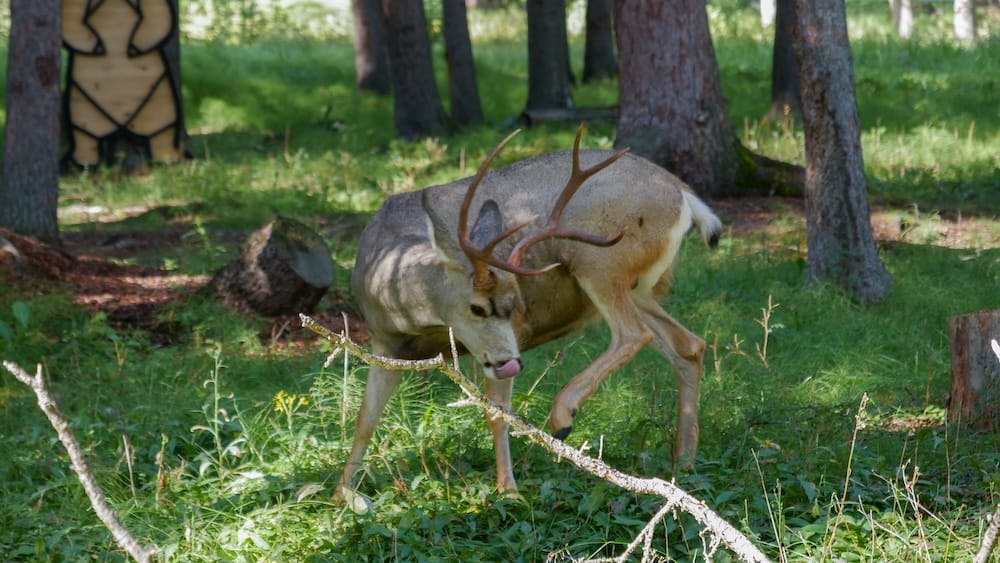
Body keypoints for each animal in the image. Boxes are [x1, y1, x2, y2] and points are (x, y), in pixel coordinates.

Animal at [340, 126, 722, 504]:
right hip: (638, 287)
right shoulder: (385, 343)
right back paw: (684, 463)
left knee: (633, 332)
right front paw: (343, 494)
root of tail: (683, 194)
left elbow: (497, 414)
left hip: (599, 261)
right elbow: (365, 418)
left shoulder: (513, 334)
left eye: (515, 305)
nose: (511, 363)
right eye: (476, 307)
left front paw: (508, 492)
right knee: (689, 345)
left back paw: (563, 415)